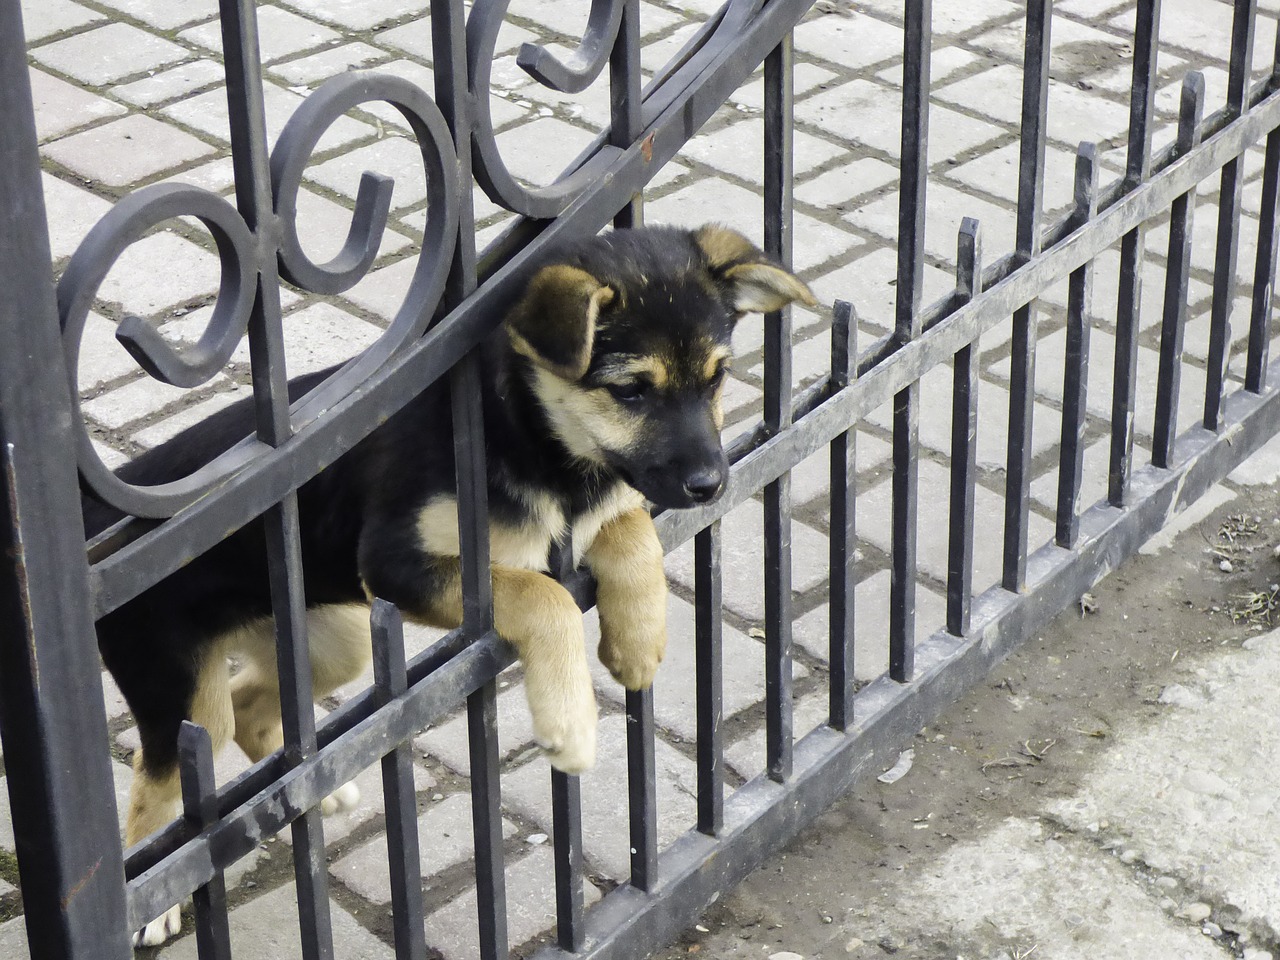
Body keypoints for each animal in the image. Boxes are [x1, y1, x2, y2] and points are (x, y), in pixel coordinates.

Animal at [87, 224, 808, 947]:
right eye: (631, 391)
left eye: (717, 378)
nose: (710, 485)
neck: (523, 435)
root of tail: (104, 530)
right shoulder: (399, 563)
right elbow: (544, 594)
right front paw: (571, 726)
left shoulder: (592, 509)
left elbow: (630, 530)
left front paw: (637, 643)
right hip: (180, 692)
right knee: (161, 795)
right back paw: (153, 915)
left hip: (333, 640)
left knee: (254, 705)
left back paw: (327, 793)